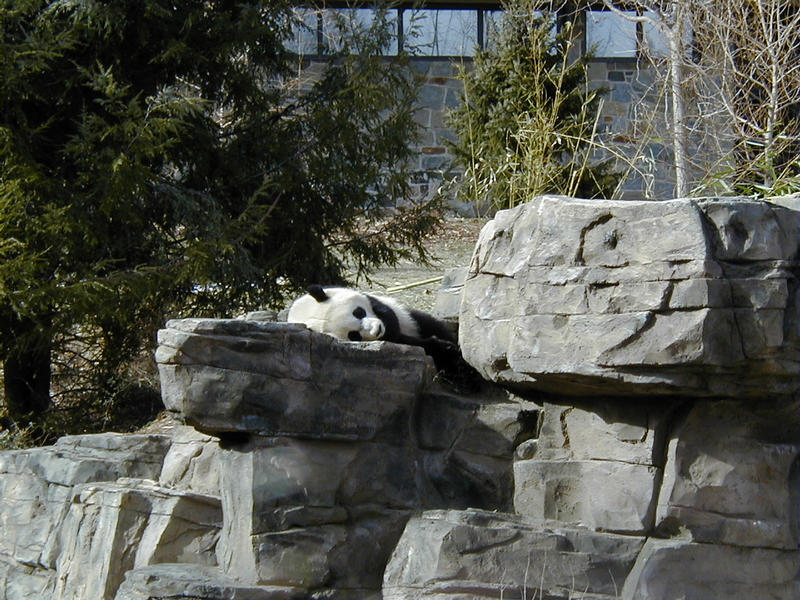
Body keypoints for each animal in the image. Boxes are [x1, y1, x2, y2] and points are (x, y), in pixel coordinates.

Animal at [286, 284, 478, 392]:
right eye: (353, 335)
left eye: (358, 312)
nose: (377, 330)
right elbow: (403, 340)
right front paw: (443, 349)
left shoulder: (375, 302)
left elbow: (388, 315)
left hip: (413, 320)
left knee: (430, 324)